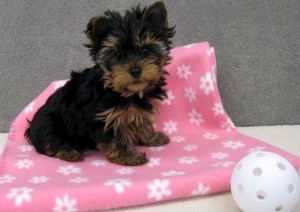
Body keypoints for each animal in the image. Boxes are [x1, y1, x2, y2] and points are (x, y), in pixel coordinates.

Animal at [26, 1, 176, 166]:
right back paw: (69, 152)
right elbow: (117, 137)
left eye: (145, 51)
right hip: (51, 125)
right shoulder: (106, 118)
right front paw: (128, 157)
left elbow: (142, 122)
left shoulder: (139, 109)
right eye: (118, 55)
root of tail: (31, 128)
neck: (123, 91)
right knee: (50, 142)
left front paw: (151, 138)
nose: (135, 70)